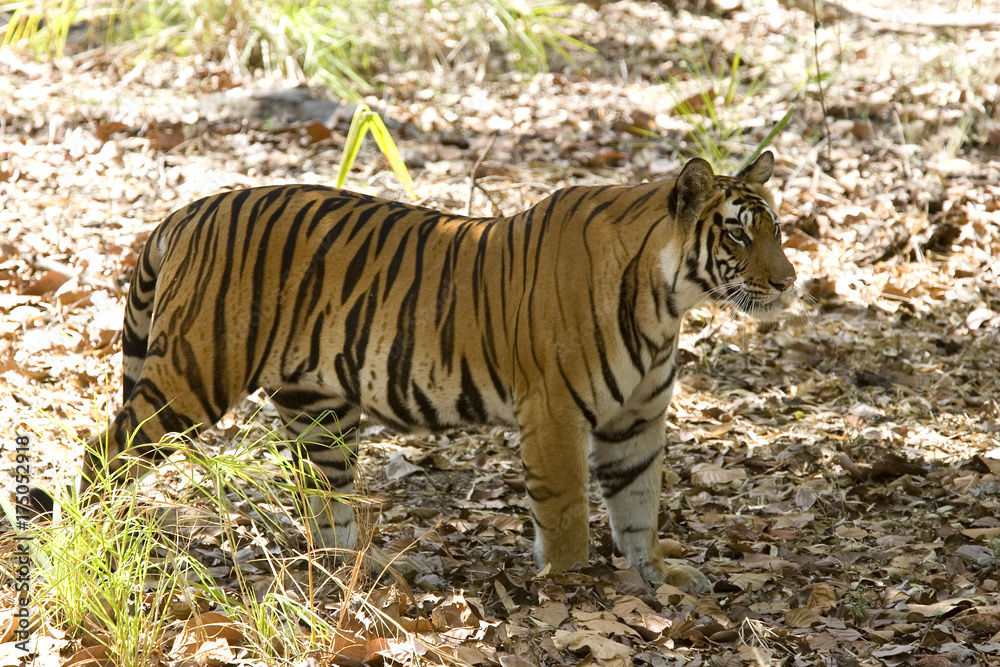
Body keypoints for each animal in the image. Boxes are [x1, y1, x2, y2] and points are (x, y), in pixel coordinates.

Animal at [73, 151, 795, 590]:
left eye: (778, 230)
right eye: (737, 233)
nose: (790, 281)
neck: (666, 301)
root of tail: (187, 211)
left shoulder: (637, 418)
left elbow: (640, 501)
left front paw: (657, 577)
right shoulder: (556, 411)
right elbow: (565, 510)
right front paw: (569, 585)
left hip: (317, 409)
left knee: (326, 501)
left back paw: (360, 574)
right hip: (192, 378)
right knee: (102, 453)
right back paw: (92, 545)